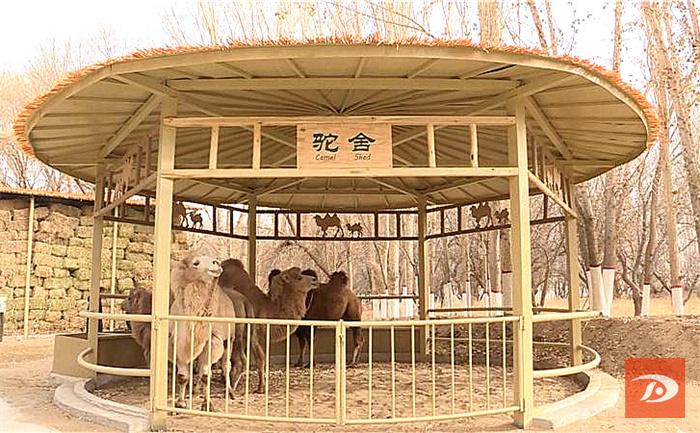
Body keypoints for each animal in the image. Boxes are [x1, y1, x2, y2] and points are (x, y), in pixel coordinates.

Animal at [169, 255, 236, 408]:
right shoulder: (176, 343)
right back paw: (195, 391)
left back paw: (230, 393)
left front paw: (208, 404)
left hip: (229, 339)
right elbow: (182, 376)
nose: (216, 263)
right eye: (196, 263)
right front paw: (180, 403)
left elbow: (206, 375)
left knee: (225, 365)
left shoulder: (212, 341)